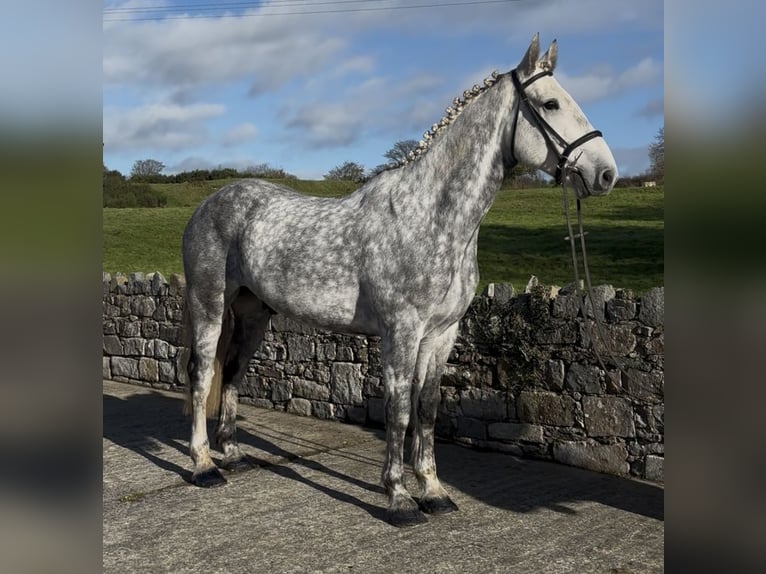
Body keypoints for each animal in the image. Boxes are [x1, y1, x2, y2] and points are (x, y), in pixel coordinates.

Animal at [181, 34, 618, 527]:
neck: (429, 215)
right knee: (202, 374)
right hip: (209, 304)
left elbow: (426, 410)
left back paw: (234, 454)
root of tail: (209, 204)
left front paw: (434, 491)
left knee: (233, 371)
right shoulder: (401, 332)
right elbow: (399, 410)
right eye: (550, 103)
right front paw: (399, 497)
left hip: (255, 314)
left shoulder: (442, 334)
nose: (606, 173)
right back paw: (203, 464)